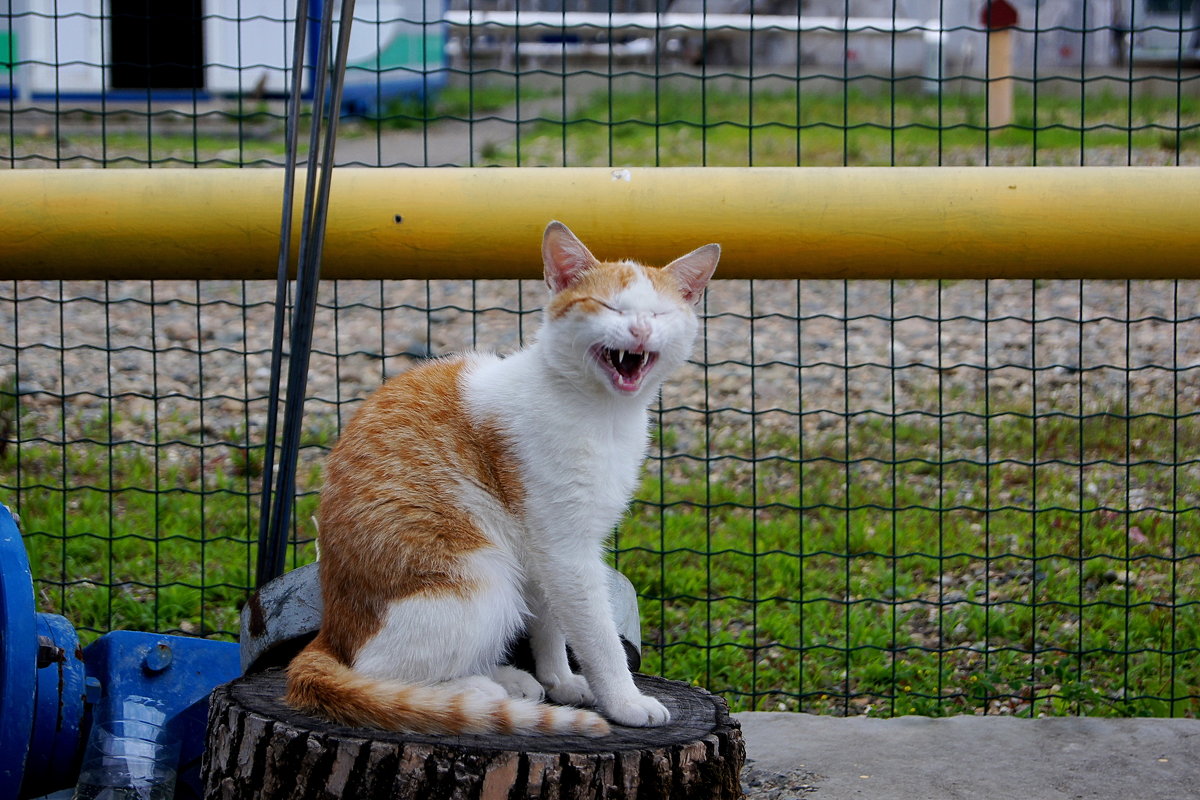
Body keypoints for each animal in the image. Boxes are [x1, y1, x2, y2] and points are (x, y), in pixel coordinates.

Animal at [288, 220, 720, 738]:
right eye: (609, 306)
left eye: (659, 313)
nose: (639, 329)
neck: (604, 414)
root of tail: (329, 633)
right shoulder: (566, 551)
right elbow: (597, 636)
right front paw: (624, 700)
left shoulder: (542, 549)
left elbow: (551, 621)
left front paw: (560, 680)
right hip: (483, 578)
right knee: (377, 672)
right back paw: (476, 690)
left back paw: (506, 678)